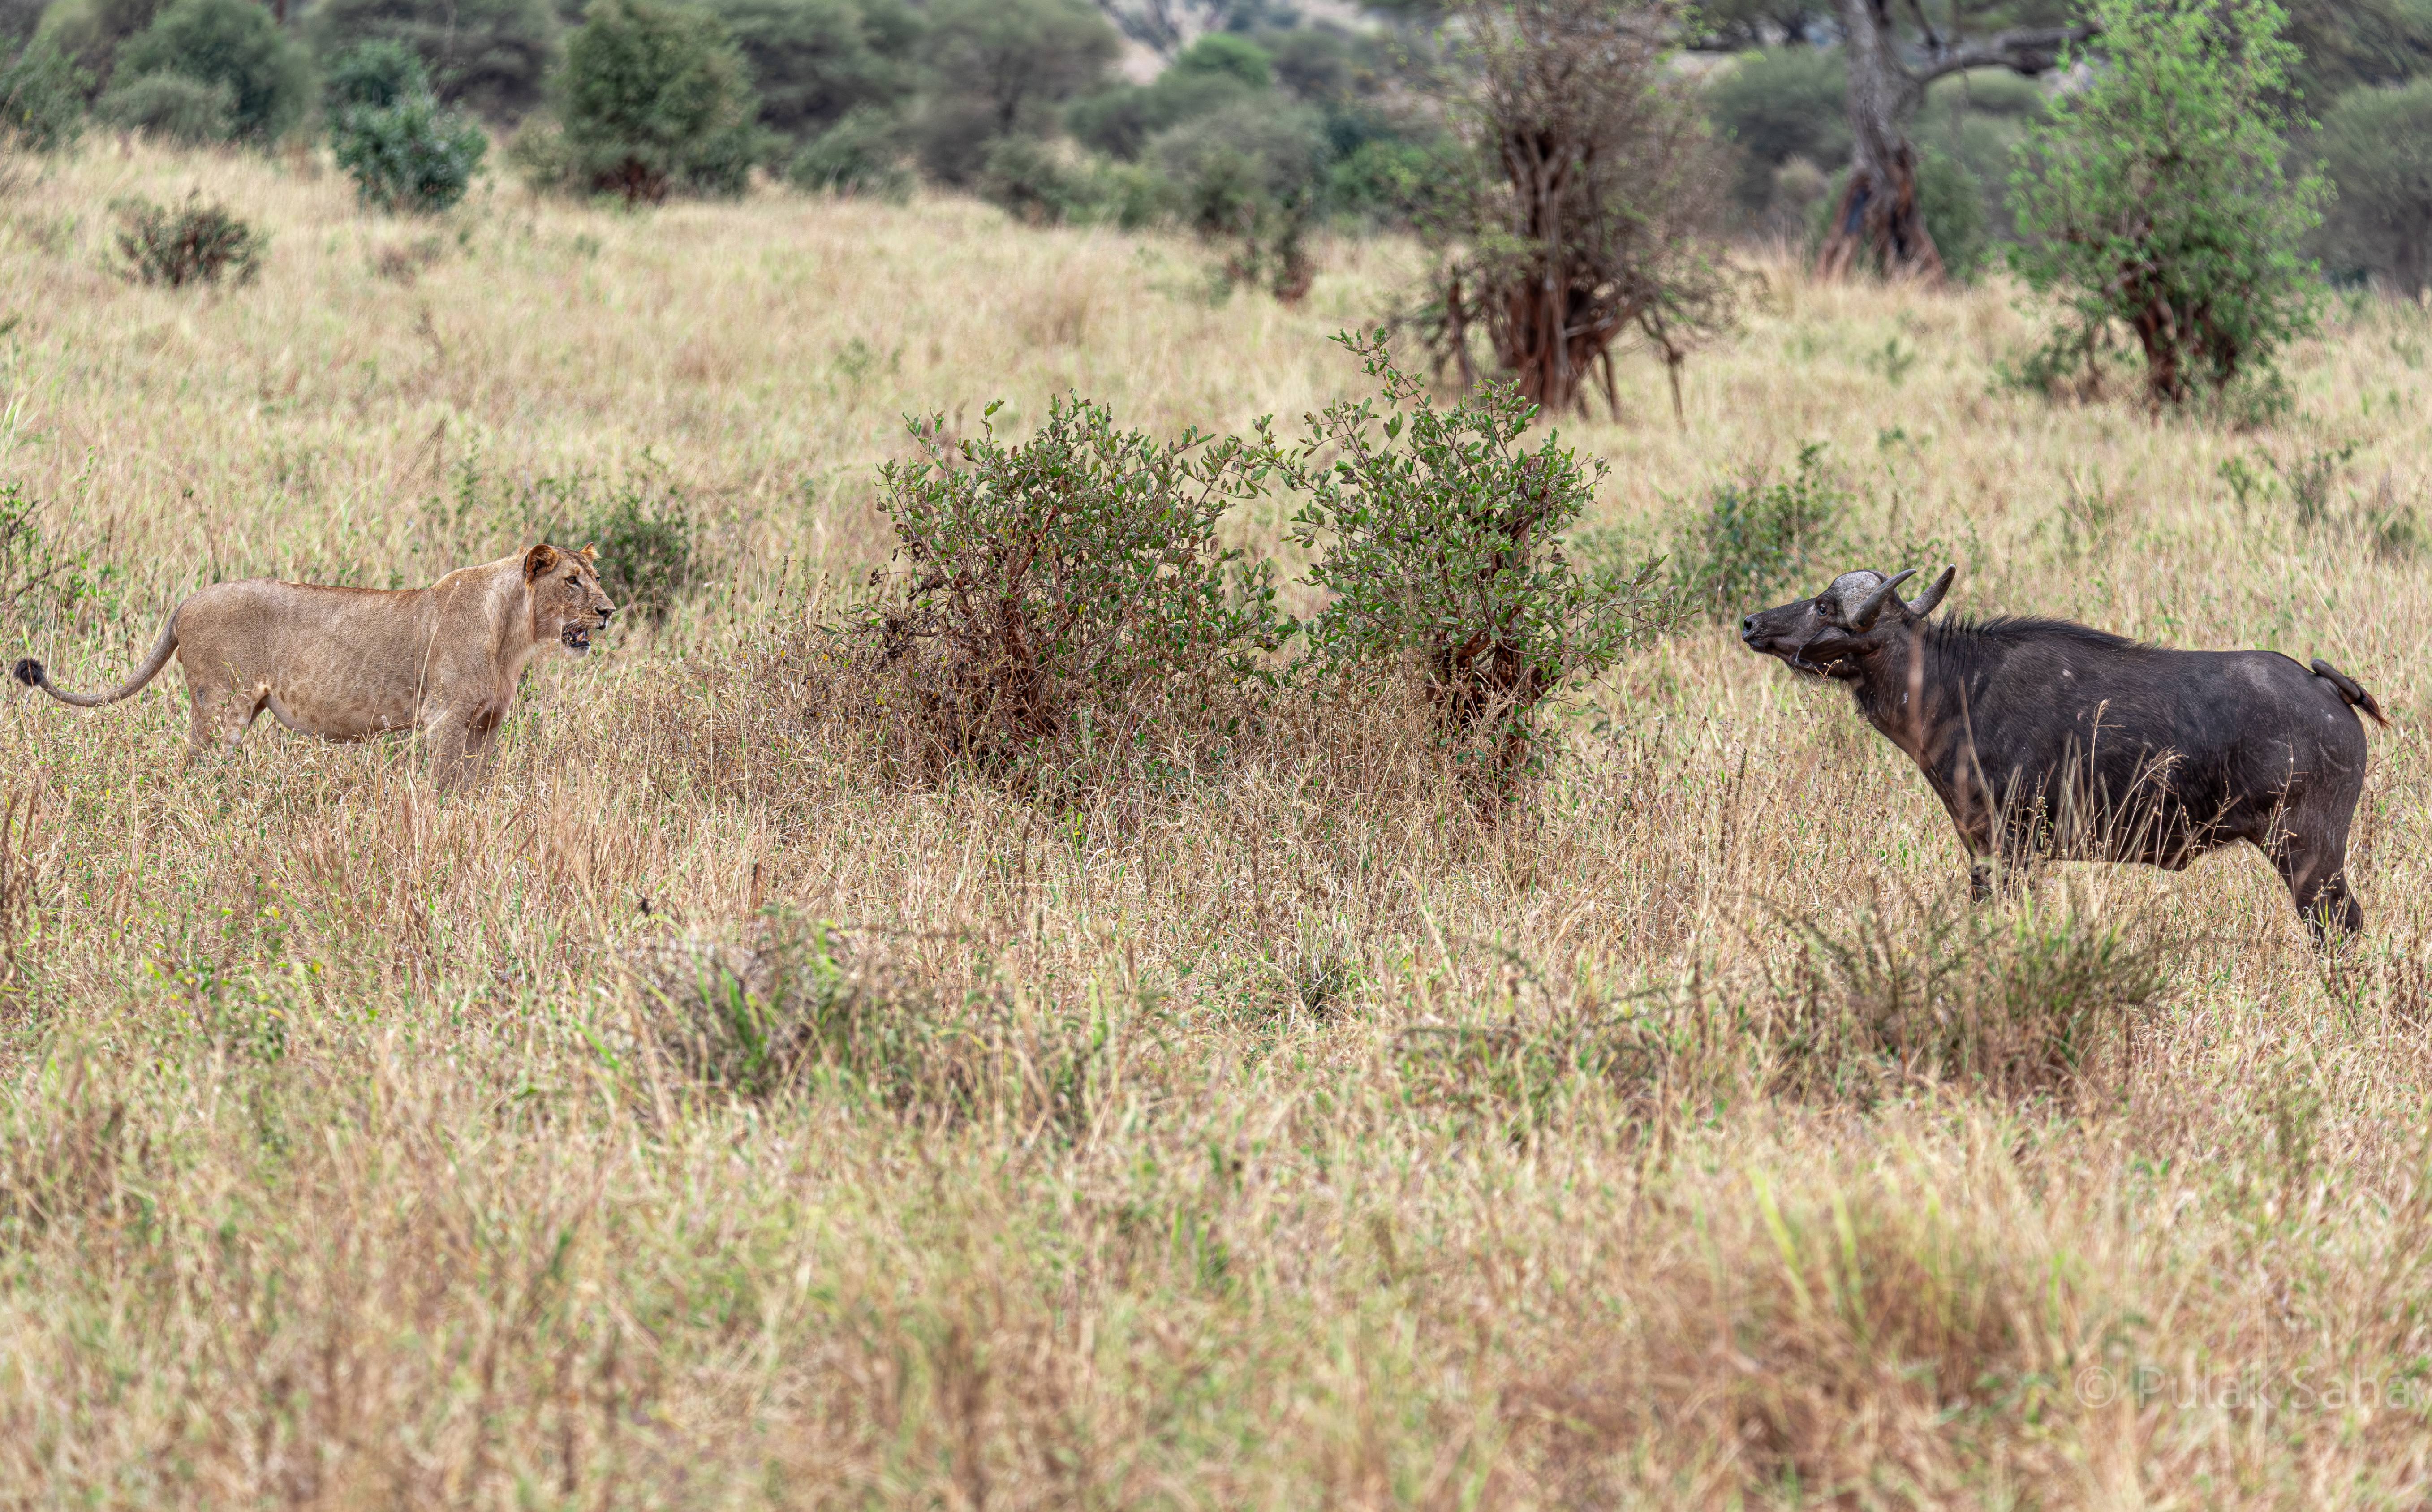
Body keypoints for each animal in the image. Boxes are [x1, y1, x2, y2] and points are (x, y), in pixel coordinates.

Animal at [11, 543, 615, 788]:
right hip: (222, 708)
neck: (514, 632)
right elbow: (441, 785)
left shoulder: (486, 724)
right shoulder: (443, 718)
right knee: (192, 771)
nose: (609, 611)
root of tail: (185, 603)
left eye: (596, 578)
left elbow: (476, 786)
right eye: (571, 581)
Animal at [1740, 566, 2386, 941]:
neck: (1956, 687)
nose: (1750, 622)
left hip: (2308, 854)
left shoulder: (2010, 848)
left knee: (2340, 926)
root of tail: (2324, 687)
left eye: (1824, 606)